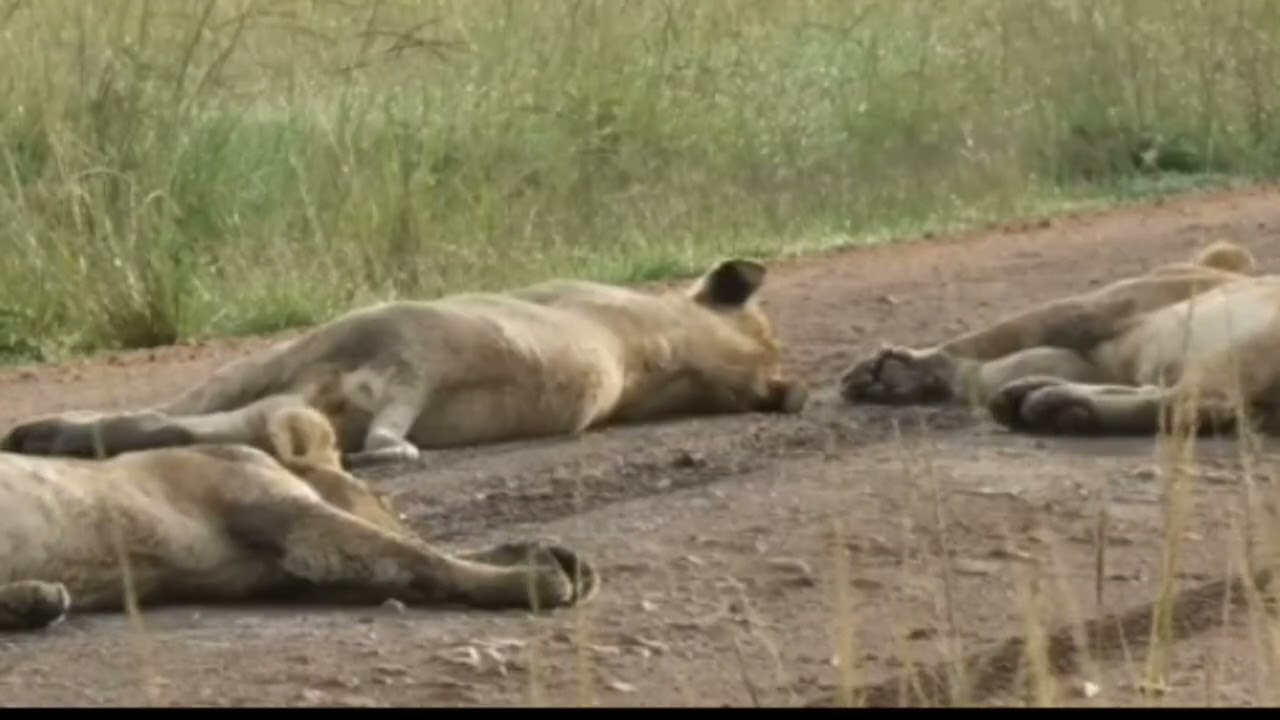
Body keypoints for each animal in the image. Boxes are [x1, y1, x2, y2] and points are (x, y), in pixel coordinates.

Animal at [0, 405, 597, 632]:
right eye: (380, 494)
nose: (387, 502)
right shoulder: (290, 517)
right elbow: (416, 555)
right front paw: (535, 577)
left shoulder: (291, 569)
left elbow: (419, 561)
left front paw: (553, 556)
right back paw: (36, 601)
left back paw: (36, 600)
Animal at [839, 239, 1279, 436]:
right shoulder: (1102, 347)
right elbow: (990, 365)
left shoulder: (1098, 309)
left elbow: (988, 339)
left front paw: (892, 371)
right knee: (1194, 405)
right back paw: (1040, 402)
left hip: (1241, 350)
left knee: (1198, 402)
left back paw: (1052, 404)